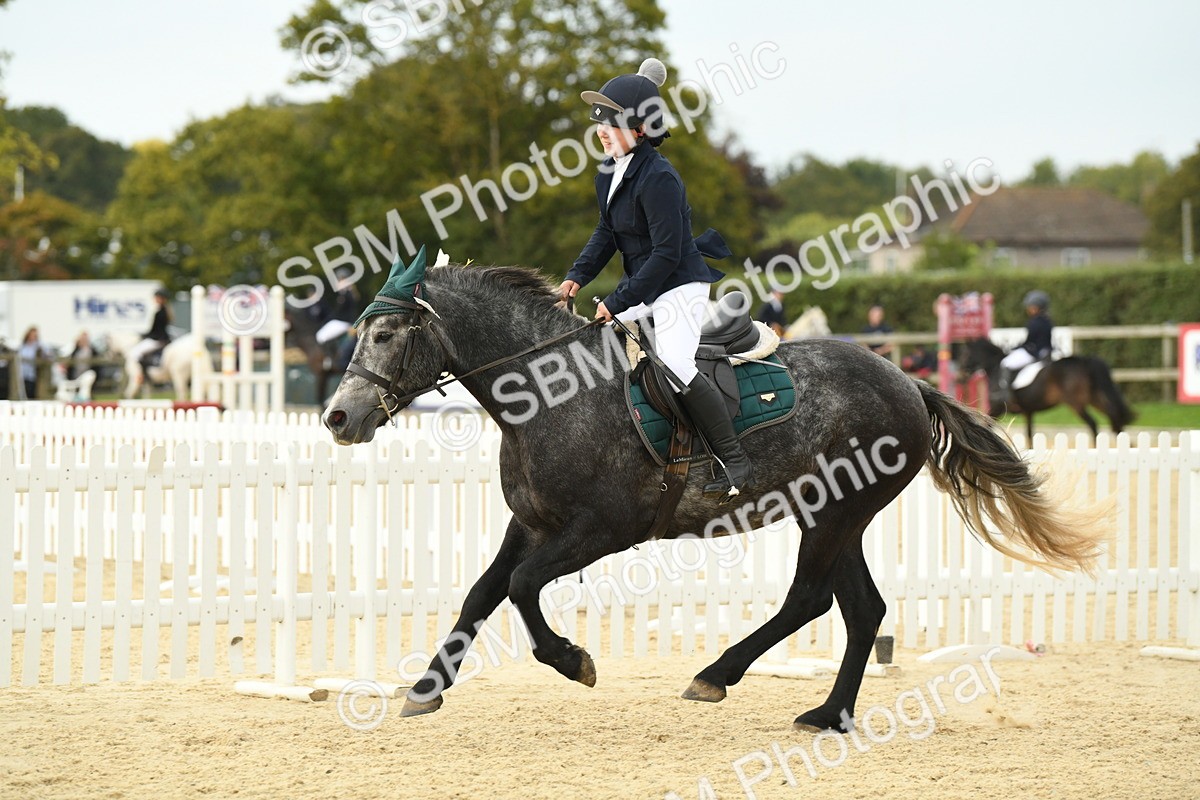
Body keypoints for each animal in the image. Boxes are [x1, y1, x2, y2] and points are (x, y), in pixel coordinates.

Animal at [322, 257, 1103, 732]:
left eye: (386, 333)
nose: (337, 418)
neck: (547, 395)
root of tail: (907, 381)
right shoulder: (533, 524)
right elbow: (483, 593)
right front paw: (426, 689)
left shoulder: (600, 531)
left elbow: (519, 590)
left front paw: (574, 662)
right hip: (834, 513)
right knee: (861, 609)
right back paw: (827, 714)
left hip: (834, 514)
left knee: (810, 599)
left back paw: (717, 674)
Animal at [958, 337, 1135, 443]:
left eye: (965, 354)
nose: (961, 374)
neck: (994, 366)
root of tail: (1083, 361)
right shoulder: (1028, 412)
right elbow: (1029, 434)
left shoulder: (998, 407)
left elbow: (986, 425)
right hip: (1096, 398)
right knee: (1113, 414)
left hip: (1076, 403)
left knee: (1093, 423)